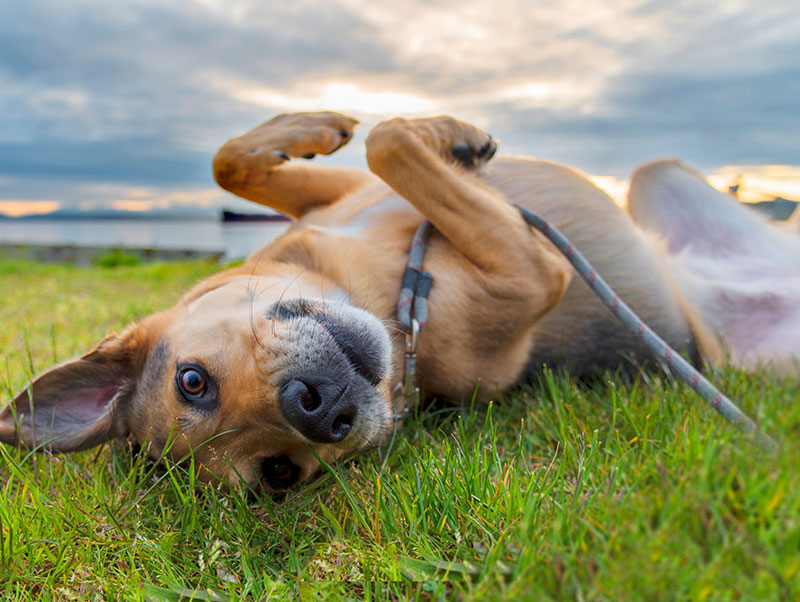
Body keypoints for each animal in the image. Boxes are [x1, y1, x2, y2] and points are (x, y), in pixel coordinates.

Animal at [1, 111, 800, 488]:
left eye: (190, 382)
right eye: (281, 475)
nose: (315, 409)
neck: (377, 290)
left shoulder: (340, 195)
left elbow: (242, 160)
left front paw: (335, 127)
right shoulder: (533, 271)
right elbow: (391, 145)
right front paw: (445, 139)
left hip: (654, 174)